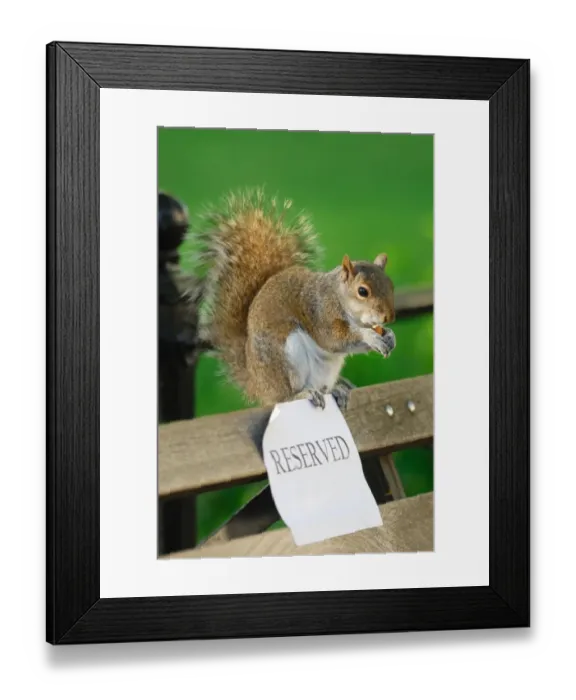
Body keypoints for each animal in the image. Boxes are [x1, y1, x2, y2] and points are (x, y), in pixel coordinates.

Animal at [189, 189, 397, 411]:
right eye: (362, 291)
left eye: (391, 285)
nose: (389, 317)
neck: (339, 298)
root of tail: (258, 384)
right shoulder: (319, 311)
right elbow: (334, 339)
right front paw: (370, 337)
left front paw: (389, 336)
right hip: (286, 356)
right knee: (283, 397)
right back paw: (302, 394)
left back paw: (336, 389)